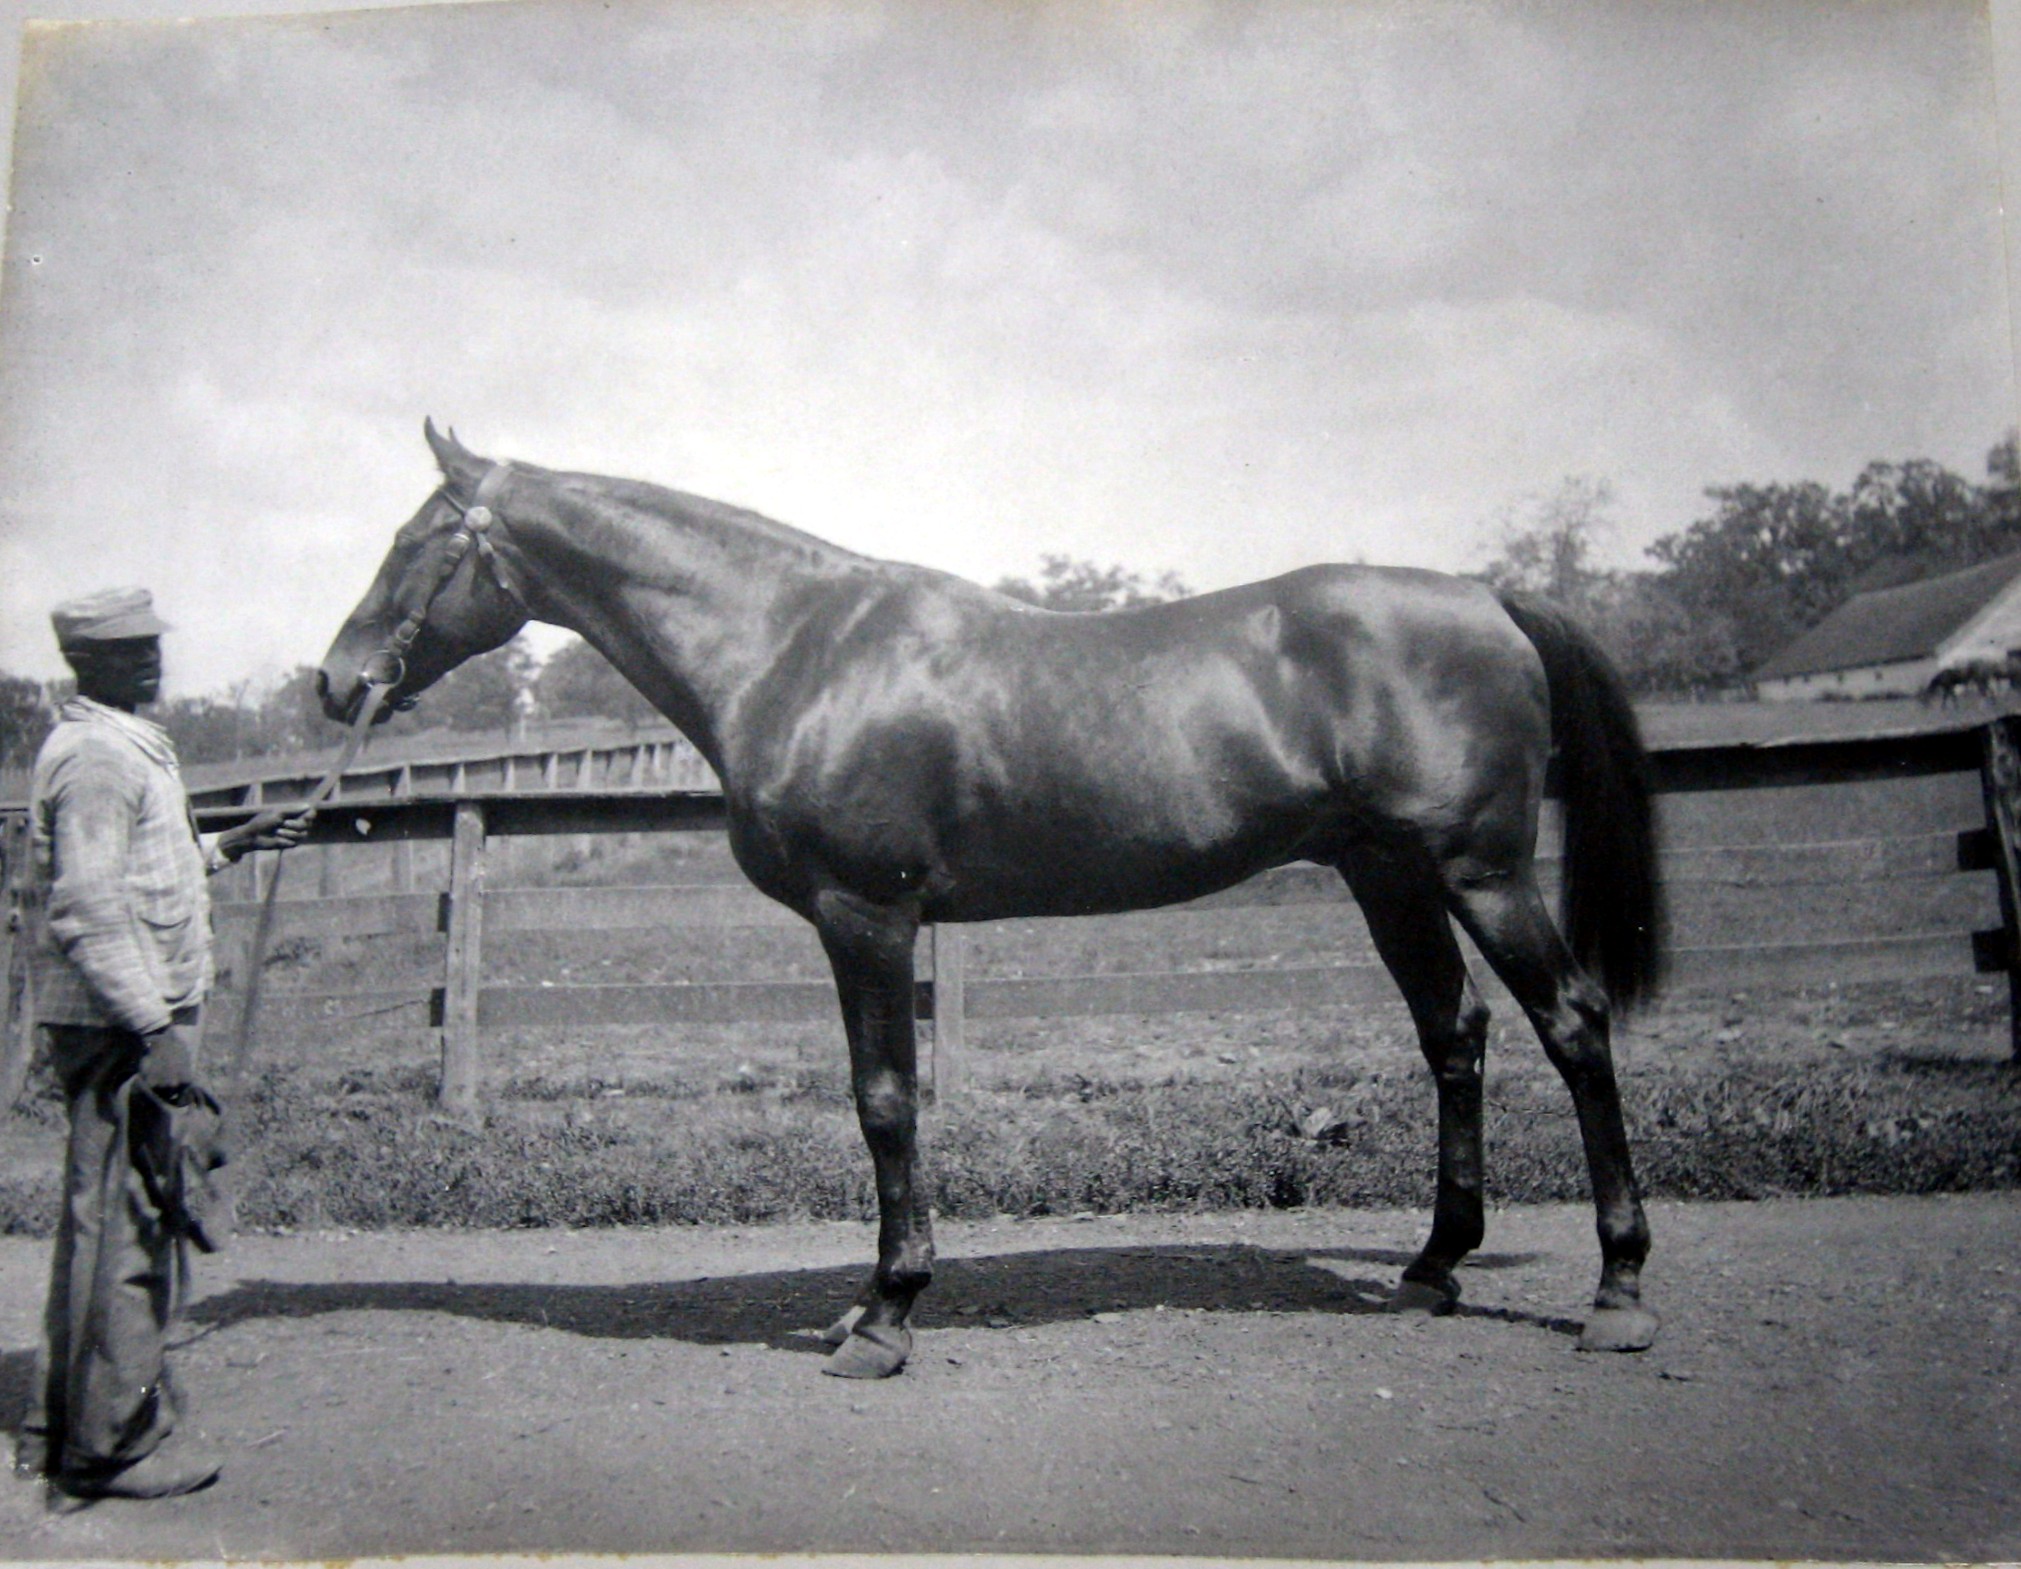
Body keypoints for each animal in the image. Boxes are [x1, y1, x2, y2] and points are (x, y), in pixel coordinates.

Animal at [318, 420, 1666, 1377]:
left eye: (415, 542)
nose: (335, 684)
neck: (797, 647)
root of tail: (1485, 597)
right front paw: (873, 1301)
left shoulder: (864, 915)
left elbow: (882, 1103)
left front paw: (885, 1315)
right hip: (1387, 875)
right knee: (1453, 1034)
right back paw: (1433, 1267)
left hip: (1478, 872)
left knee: (1571, 1026)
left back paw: (1617, 1292)